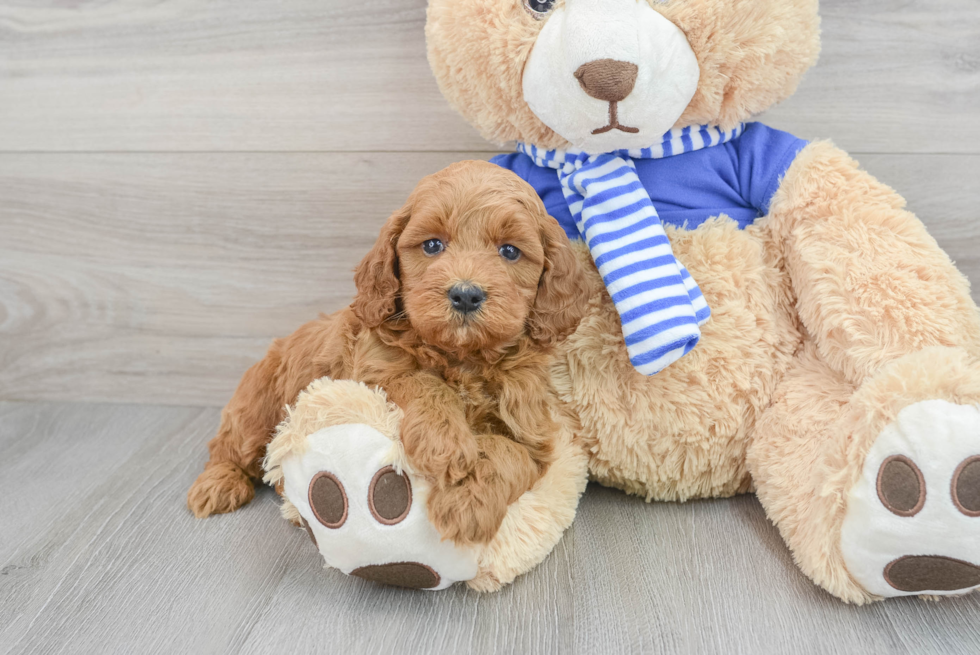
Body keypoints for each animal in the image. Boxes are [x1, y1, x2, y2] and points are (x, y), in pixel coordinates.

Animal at [189, 161, 588, 544]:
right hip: (256, 407)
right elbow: (425, 384)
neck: (462, 357)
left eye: (509, 251)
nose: (465, 294)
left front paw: (466, 505)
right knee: (228, 446)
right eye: (432, 246)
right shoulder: (374, 374)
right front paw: (445, 445)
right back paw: (217, 485)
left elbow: (507, 453)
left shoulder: (531, 436)